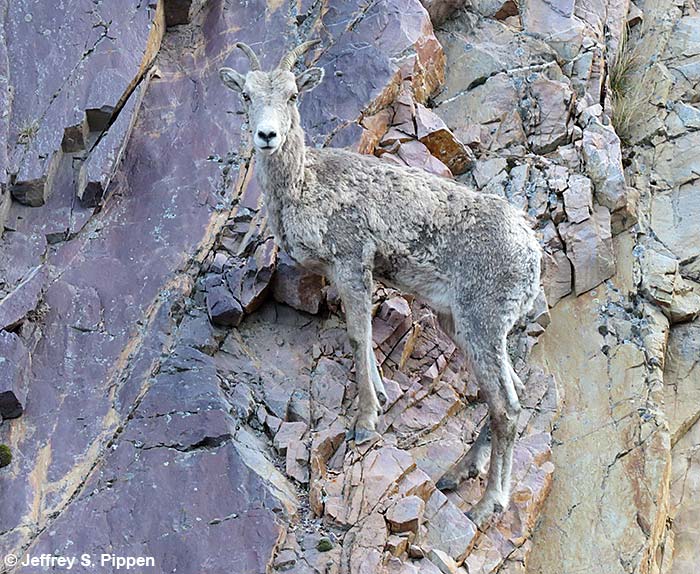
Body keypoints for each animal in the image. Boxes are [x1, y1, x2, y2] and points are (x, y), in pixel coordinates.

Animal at [218, 41, 543, 527]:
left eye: (293, 95)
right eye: (246, 96)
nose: (267, 136)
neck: (303, 186)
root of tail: (532, 254)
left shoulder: (353, 262)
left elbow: (357, 335)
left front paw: (366, 422)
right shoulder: (341, 273)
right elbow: (365, 336)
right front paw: (384, 395)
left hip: (481, 324)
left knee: (507, 407)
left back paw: (488, 504)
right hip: (459, 324)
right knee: (510, 394)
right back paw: (456, 474)